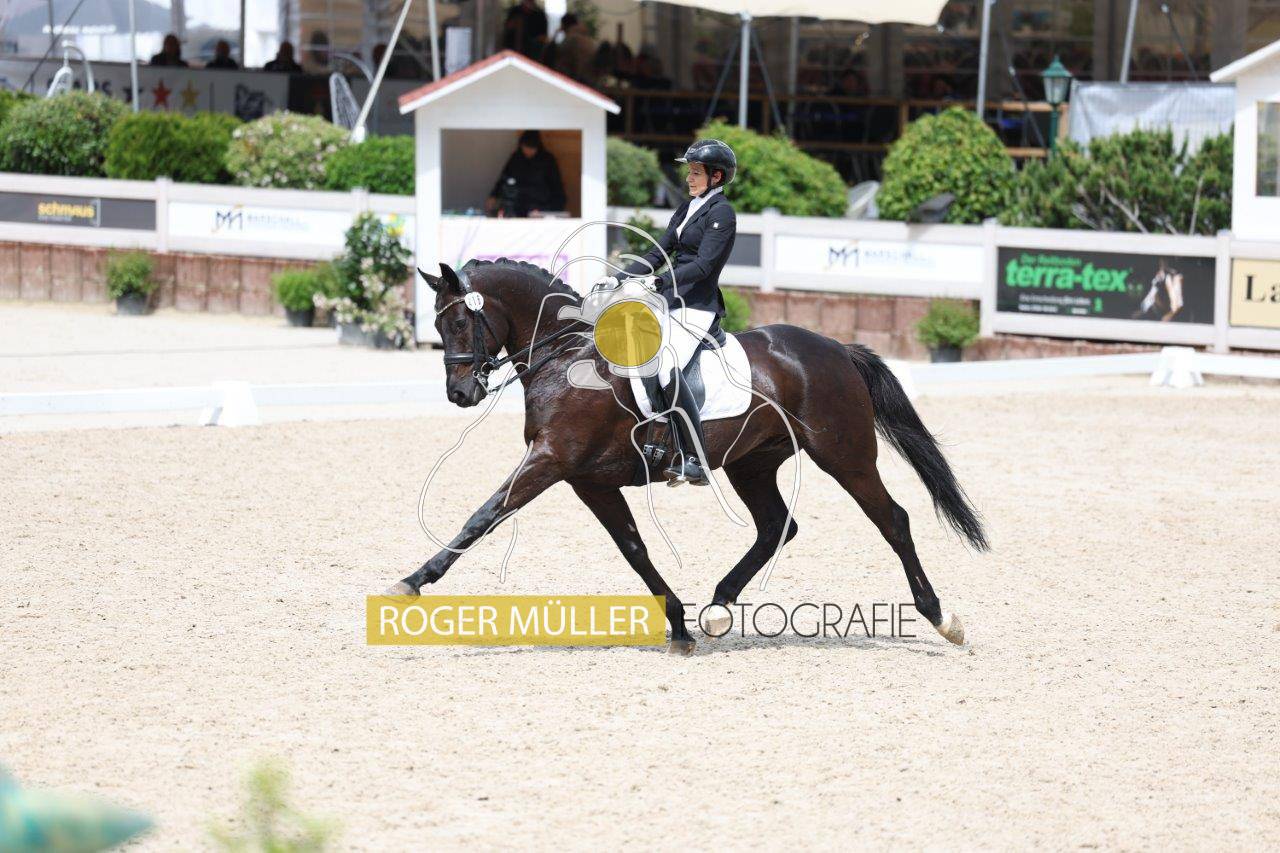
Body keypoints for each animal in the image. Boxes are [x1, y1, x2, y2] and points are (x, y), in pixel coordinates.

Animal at [387, 259, 988, 654]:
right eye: (438, 324)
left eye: (459, 322)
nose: (459, 393)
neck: (565, 356)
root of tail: (837, 348)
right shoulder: (588, 481)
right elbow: (634, 550)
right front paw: (679, 625)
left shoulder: (551, 461)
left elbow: (482, 516)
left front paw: (412, 582)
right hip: (752, 464)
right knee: (777, 526)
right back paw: (718, 609)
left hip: (846, 456)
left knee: (893, 521)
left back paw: (943, 618)